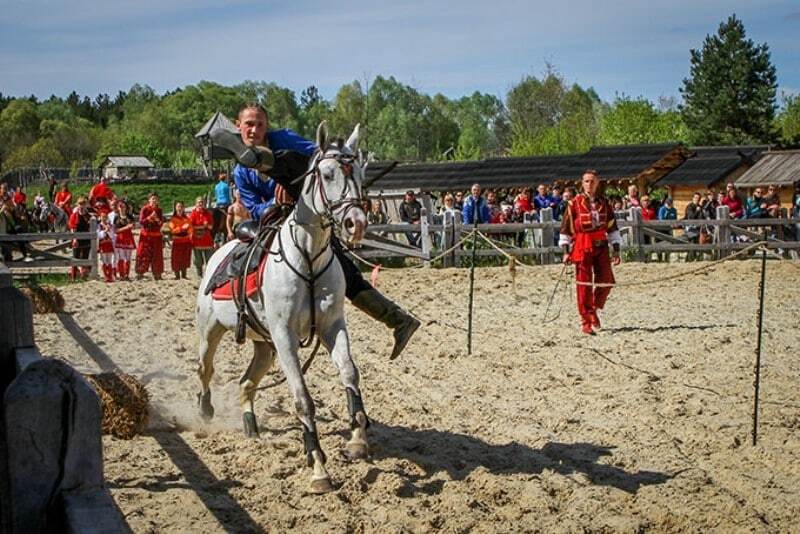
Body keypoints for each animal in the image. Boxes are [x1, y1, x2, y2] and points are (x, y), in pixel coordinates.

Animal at [195, 123, 370, 496]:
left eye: (361, 174)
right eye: (328, 174)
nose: (356, 223)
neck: (308, 258)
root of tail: (219, 252)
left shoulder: (333, 326)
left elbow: (350, 374)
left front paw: (358, 438)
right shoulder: (285, 337)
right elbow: (303, 399)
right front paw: (317, 465)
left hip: (265, 347)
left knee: (246, 382)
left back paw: (250, 426)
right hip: (211, 332)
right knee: (204, 370)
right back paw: (205, 409)